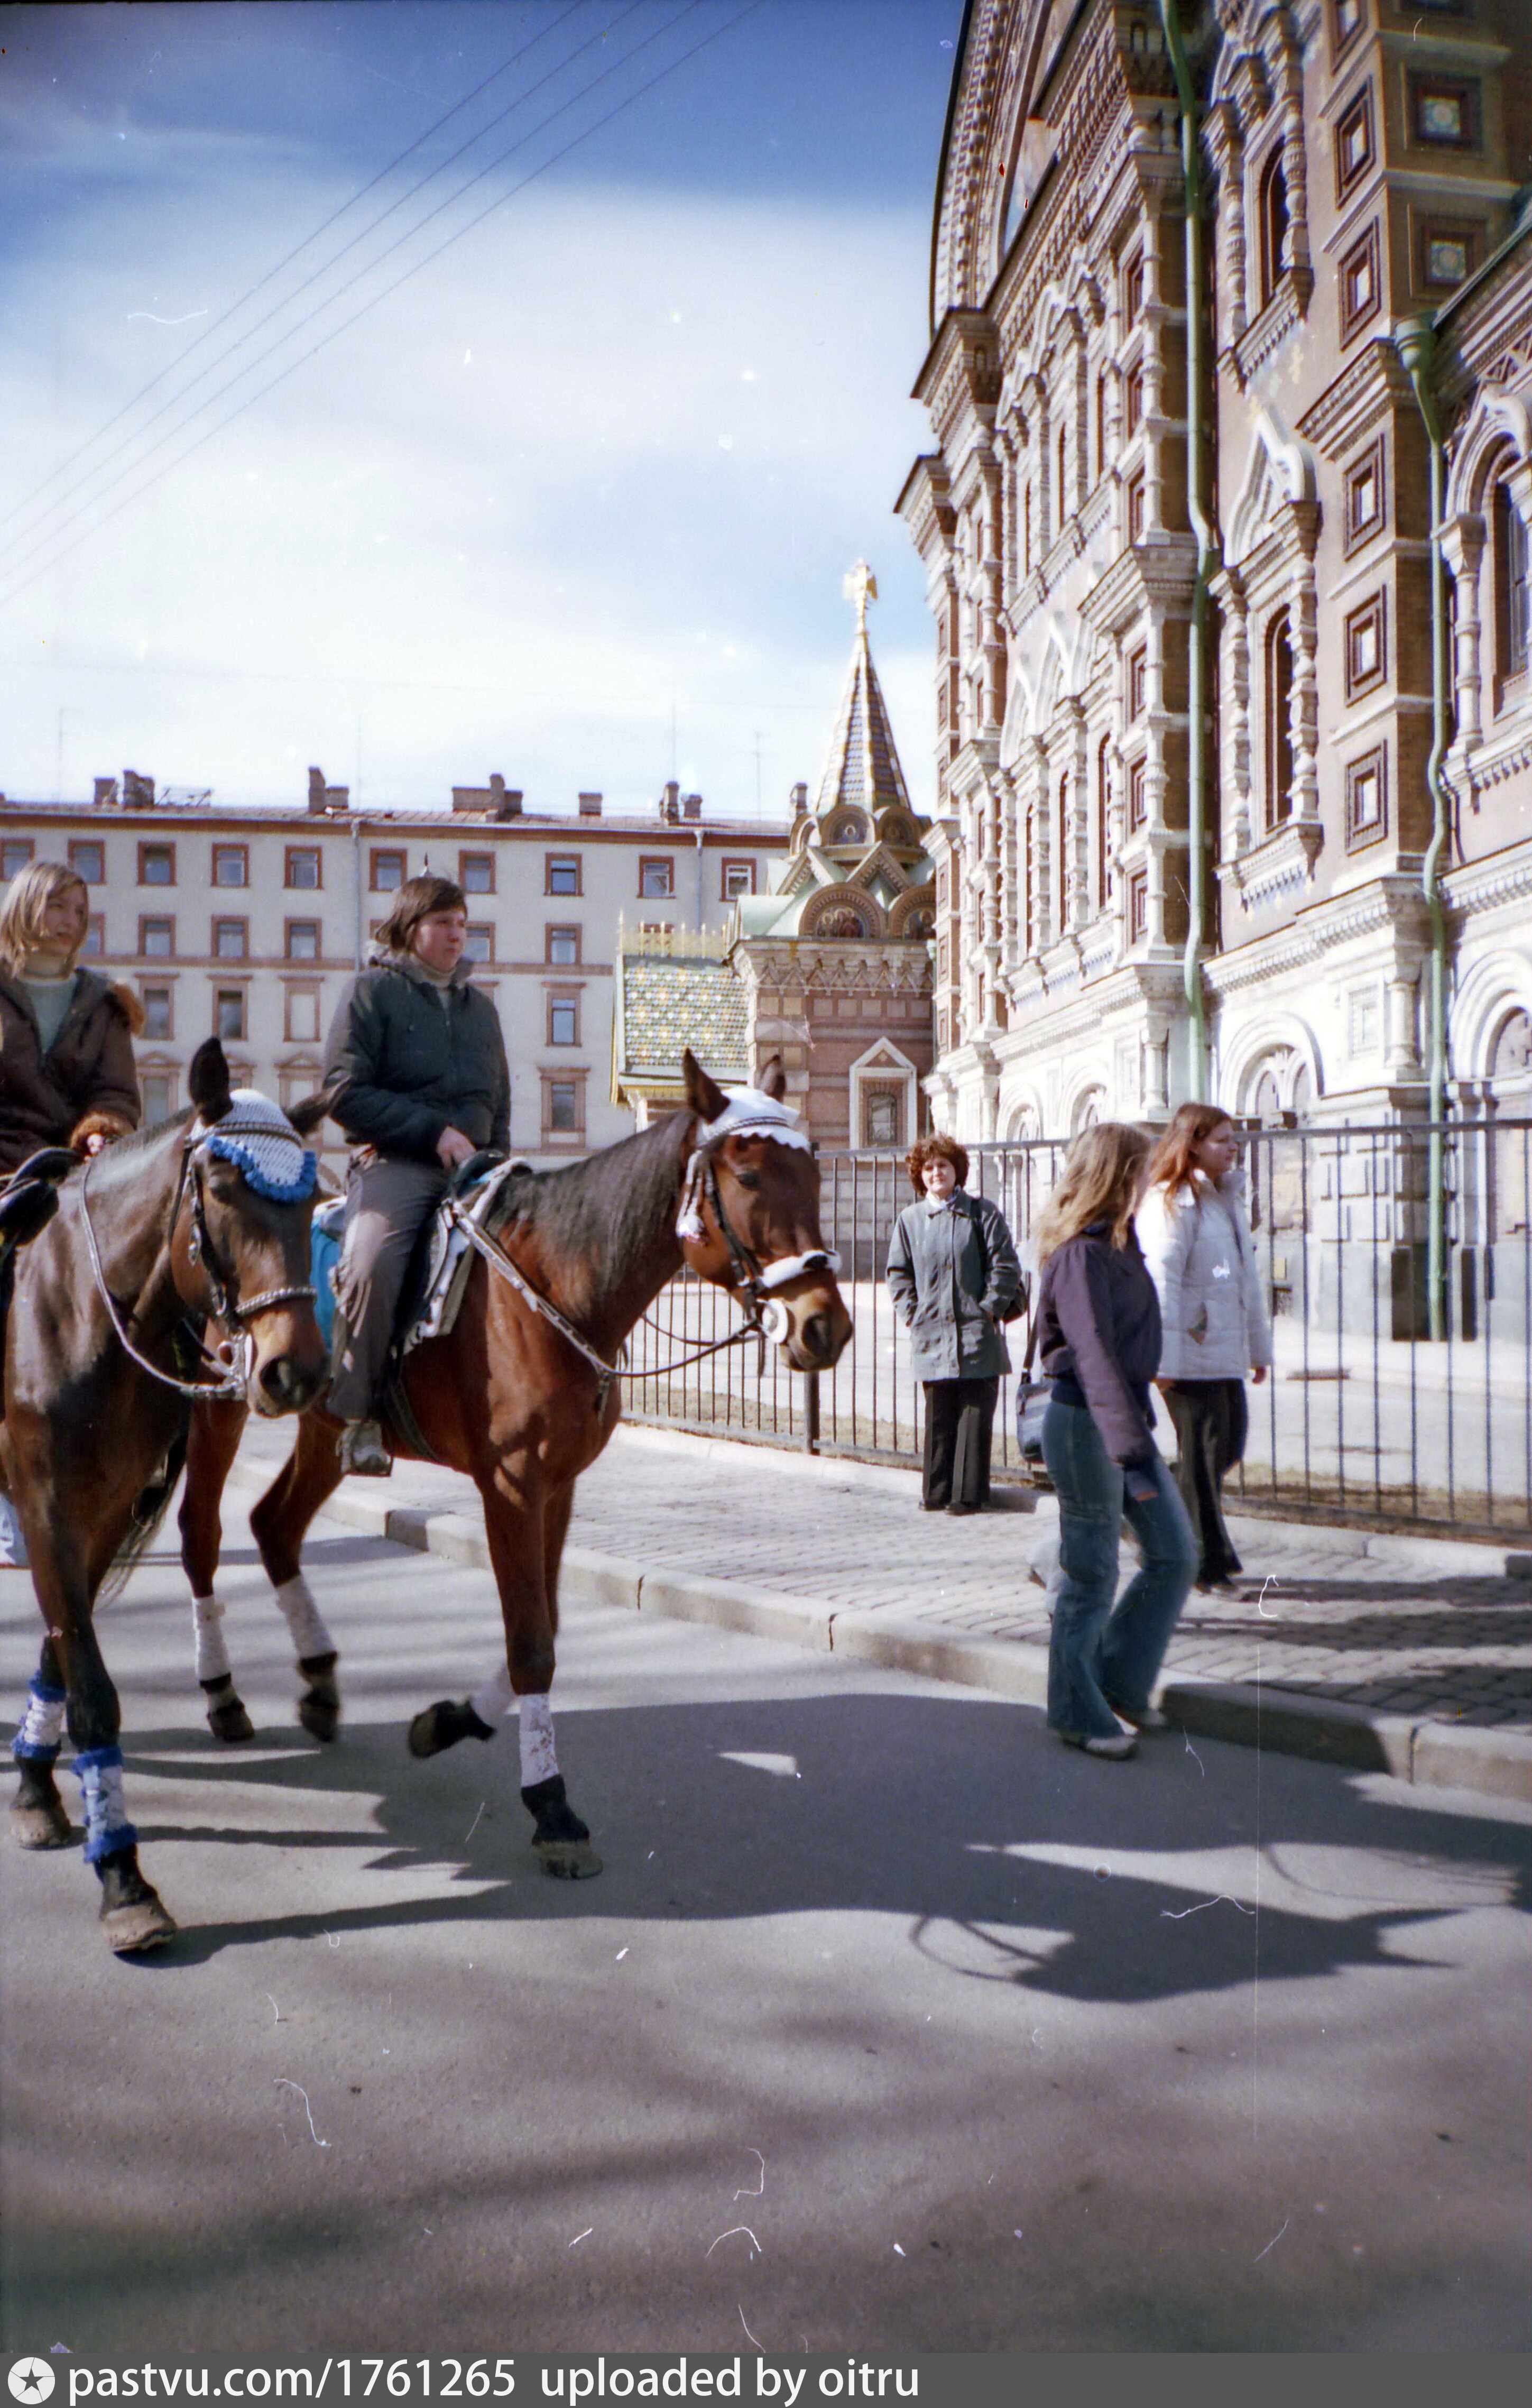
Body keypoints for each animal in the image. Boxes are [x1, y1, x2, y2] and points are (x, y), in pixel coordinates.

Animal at [1, 1045, 325, 1945]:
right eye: (222, 1188)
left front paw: (37, 1785)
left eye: (312, 1198)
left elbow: (63, 1648)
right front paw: (123, 1876)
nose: (294, 1369)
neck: (82, 1309)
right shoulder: (43, 1503)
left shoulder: (104, 1507)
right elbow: (93, 1688)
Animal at [177, 1054, 847, 1878]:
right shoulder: (512, 1485)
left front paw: (448, 1721)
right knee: (202, 1532)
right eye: (748, 1175)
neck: (553, 1284)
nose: (824, 1325)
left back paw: (321, 1687)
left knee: (274, 1526)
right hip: (219, 1409)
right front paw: (551, 1805)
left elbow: (543, 1629)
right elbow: (531, 1644)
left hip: (322, 1424)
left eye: (811, 1170)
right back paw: (221, 1692)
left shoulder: (558, 1487)